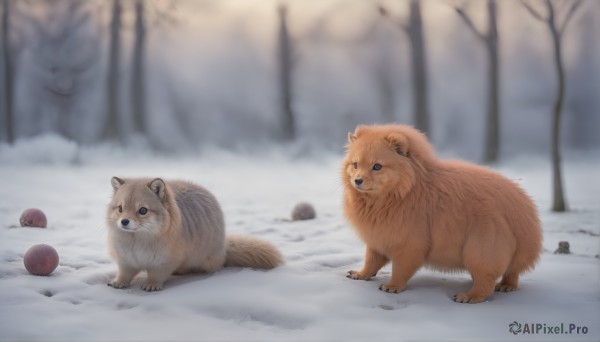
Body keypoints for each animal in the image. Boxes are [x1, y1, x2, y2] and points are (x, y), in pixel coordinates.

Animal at [342, 124, 544, 304]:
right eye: (355, 164)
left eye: (377, 166)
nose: (357, 180)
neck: (406, 191)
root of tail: (526, 215)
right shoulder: (379, 237)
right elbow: (371, 259)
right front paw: (361, 274)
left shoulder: (411, 241)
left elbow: (400, 268)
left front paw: (392, 286)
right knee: (511, 273)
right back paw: (506, 286)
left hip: (481, 248)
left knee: (486, 284)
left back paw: (469, 296)